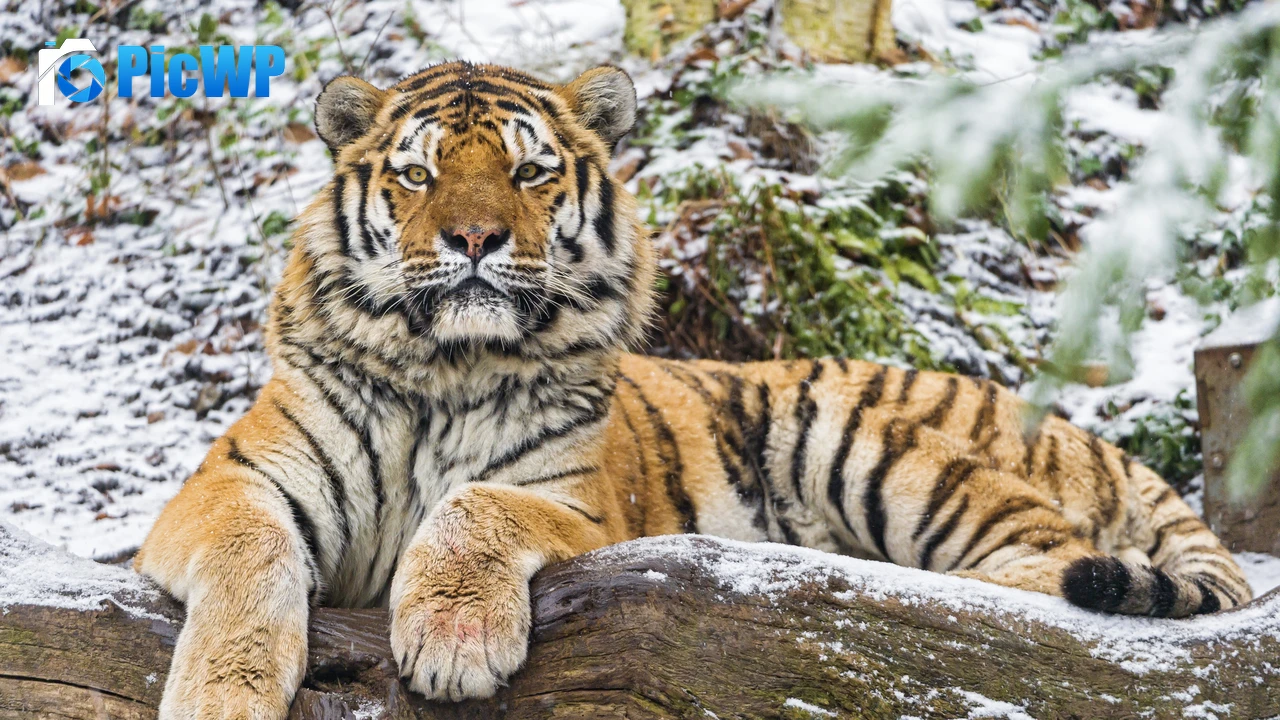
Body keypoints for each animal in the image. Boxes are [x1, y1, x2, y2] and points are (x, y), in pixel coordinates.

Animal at [134, 60, 1252, 718]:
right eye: (417, 176)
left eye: (529, 173)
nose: (474, 238)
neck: (449, 366)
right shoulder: (229, 485)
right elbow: (251, 555)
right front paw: (222, 697)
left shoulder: (580, 504)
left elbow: (473, 505)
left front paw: (453, 640)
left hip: (870, 443)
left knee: (1036, 583)